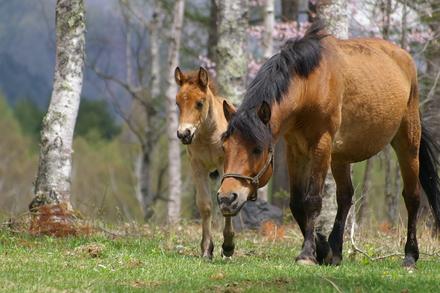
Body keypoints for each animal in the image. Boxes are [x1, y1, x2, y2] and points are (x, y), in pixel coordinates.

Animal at [174, 66, 237, 258]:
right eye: (177, 103)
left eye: (200, 103)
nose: (184, 134)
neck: (207, 135)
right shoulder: (196, 166)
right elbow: (205, 204)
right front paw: (207, 249)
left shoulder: (224, 164)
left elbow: (226, 198)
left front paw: (228, 246)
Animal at [217, 20, 440, 266]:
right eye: (224, 147)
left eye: (257, 149)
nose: (227, 198)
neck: (309, 87)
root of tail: (404, 58)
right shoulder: (295, 151)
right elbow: (297, 203)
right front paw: (323, 249)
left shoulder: (320, 146)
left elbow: (312, 200)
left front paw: (307, 253)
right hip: (341, 156)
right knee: (345, 198)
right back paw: (336, 250)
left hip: (407, 143)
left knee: (412, 197)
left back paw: (410, 256)